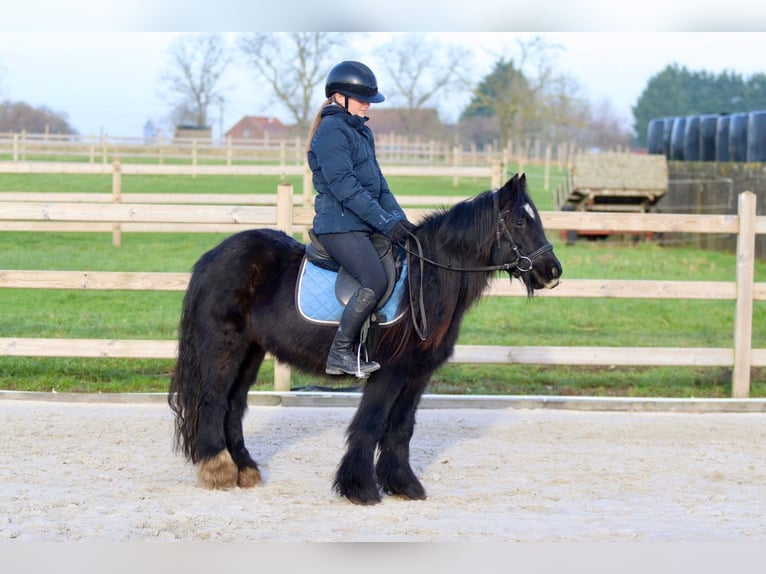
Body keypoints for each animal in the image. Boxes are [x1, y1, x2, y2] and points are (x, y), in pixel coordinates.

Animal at [170, 173, 564, 506]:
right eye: (520, 222)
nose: (553, 272)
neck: (425, 281)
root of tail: (212, 257)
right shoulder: (387, 372)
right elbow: (371, 423)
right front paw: (359, 488)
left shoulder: (417, 374)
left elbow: (401, 428)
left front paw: (403, 484)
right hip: (224, 345)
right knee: (213, 399)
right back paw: (218, 469)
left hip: (251, 351)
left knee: (234, 405)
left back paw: (245, 469)